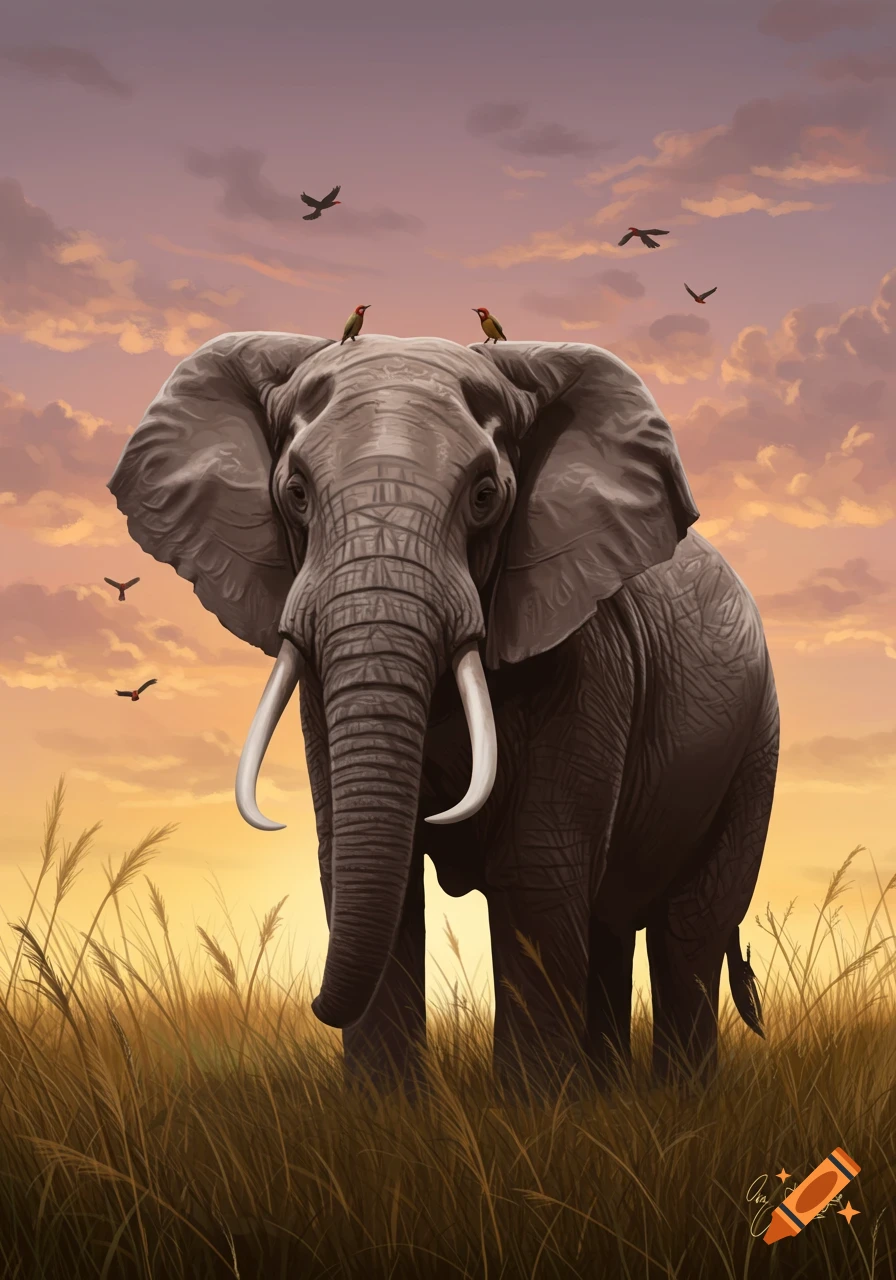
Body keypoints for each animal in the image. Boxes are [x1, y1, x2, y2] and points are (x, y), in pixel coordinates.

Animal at [107, 330, 779, 1096]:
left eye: (485, 496)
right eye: (296, 494)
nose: (308, 1001)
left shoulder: (587, 654)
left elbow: (535, 870)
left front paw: (532, 1110)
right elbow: (370, 868)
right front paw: (384, 1110)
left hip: (754, 746)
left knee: (689, 929)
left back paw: (675, 1098)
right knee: (611, 926)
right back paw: (611, 1096)